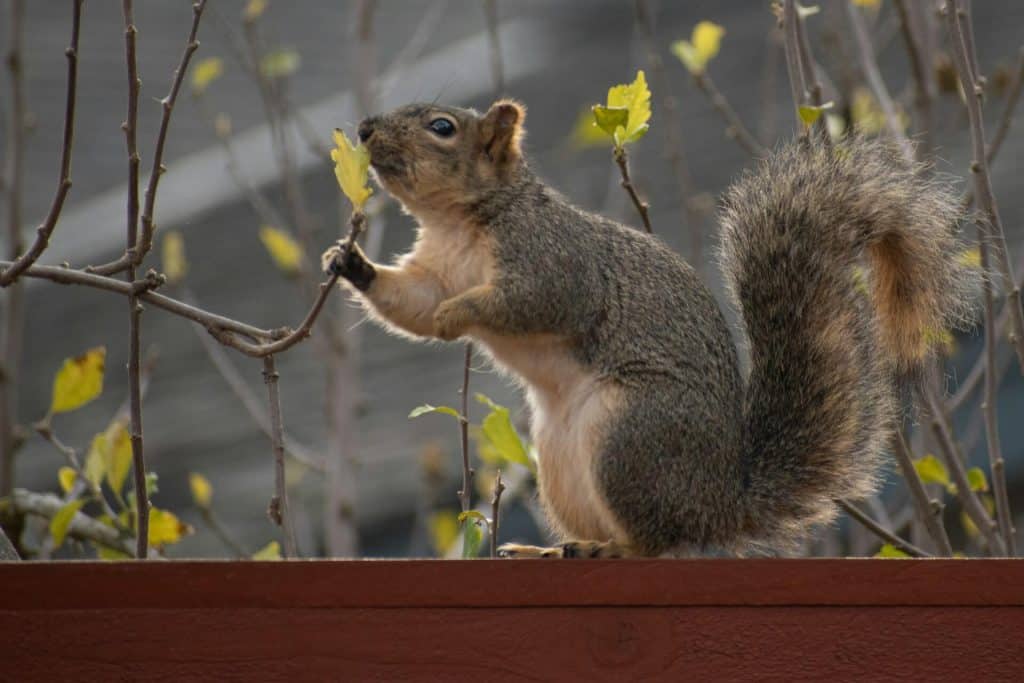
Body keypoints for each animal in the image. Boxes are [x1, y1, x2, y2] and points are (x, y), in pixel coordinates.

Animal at [321, 98, 974, 557]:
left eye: (442, 127)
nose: (365, 129)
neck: (458, 224)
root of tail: (719, 502)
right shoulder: (433, 271)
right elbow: (412, 304)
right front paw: (348, 262)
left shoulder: (553, 263)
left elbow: (529, 303)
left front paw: (460, 314)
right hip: (560, 461)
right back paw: (554, 548)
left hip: (631, 438)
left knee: (658, 541)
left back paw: (610, 549)